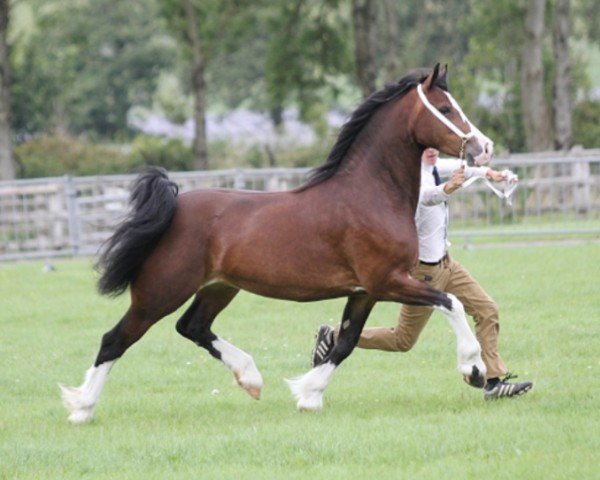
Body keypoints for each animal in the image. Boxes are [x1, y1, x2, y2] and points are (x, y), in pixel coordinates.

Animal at [61, 64, 494, 424]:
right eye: (445, 107)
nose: (484, 148)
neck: (369, 195)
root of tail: (176, 205)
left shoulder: (365, 291)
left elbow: (346, 342)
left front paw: (308, 395)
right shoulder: (388, 281)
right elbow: (450, 302)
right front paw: (473, 369)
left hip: (219, 287)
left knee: (192, 326)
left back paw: (250, 378)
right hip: (160, 291)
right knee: (116, 339)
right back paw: (82, 408)